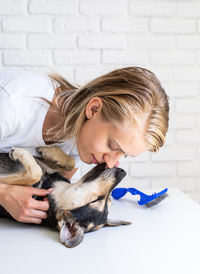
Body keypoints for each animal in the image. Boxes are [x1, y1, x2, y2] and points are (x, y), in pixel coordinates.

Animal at [0, 148, 130, 248]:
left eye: (96, 200)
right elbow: (70, 163)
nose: (123, 172)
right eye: (108, 201)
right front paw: (51, 152)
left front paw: (20, 153)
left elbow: (35, 173)